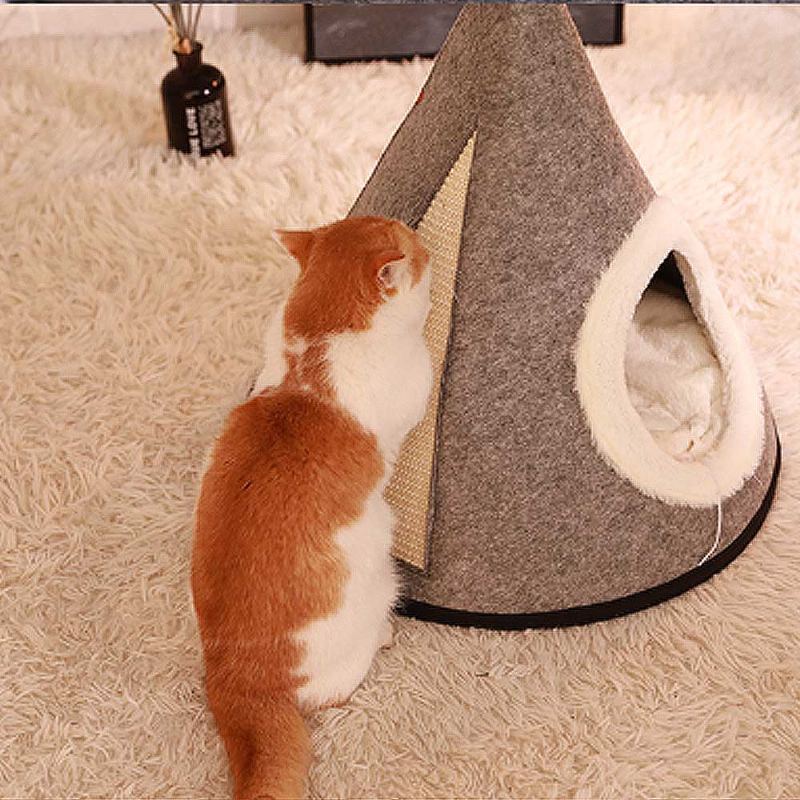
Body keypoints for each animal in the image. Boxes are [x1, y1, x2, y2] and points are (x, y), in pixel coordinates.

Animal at [191, 216, 432, 800]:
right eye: (417, 249)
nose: (427, 245)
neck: (316, 342)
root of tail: (236, 677)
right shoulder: (414, 381)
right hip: (378, 586)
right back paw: (383, 637)